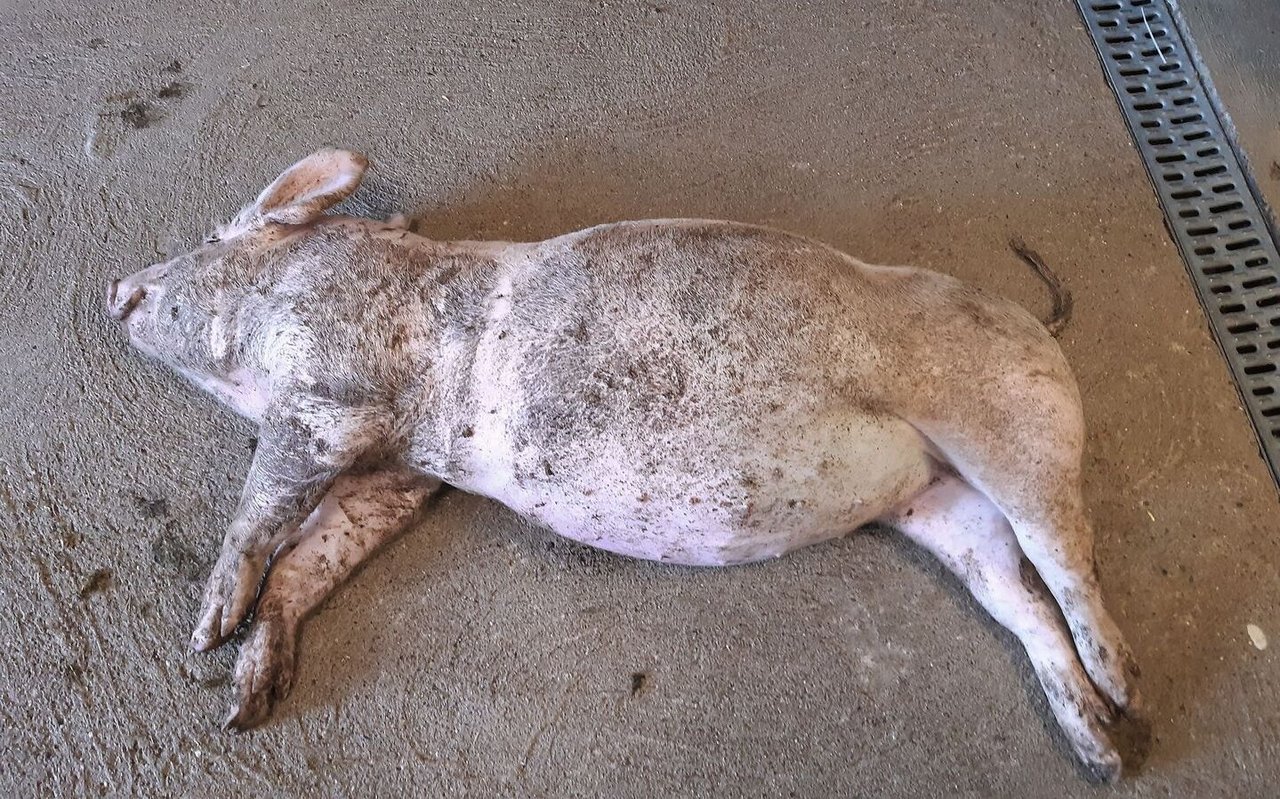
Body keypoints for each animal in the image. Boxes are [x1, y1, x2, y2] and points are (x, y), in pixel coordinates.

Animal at [106, 148, 1145, 781]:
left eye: (216, 236)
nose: (116, 286)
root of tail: (1035, 324)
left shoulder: (330, 390)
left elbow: (266, 503)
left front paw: (204, 631)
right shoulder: (399, 471)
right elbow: (321, 549)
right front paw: (245, 701)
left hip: (1015, 431)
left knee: (1069, 554)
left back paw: (1126, 688)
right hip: (942, 505)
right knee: (1017, 595)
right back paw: (1100, 747)